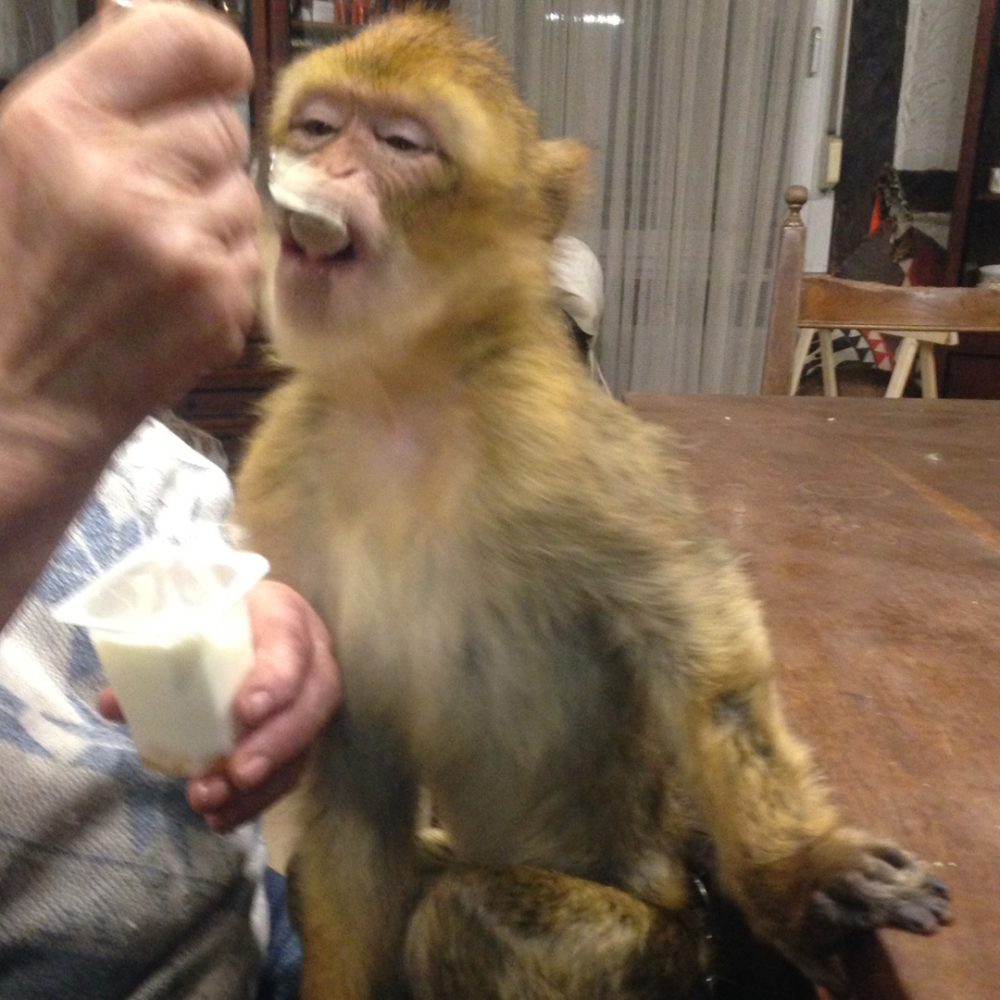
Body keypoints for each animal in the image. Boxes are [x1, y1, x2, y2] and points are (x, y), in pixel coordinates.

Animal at [234, 10, 951, 999]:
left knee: (471, 911)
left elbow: (705, 658)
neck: (400, 397)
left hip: (664, 955)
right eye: (317, 128)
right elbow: (355, 795)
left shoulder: (563, 445)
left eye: (400, 144)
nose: (325, 171)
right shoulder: (284, 474)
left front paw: (797, 877)